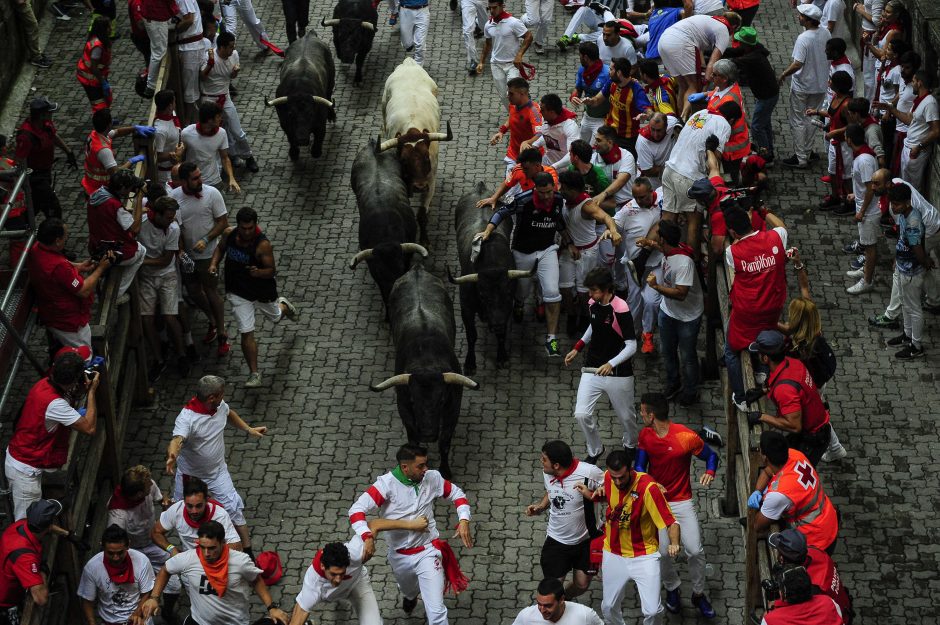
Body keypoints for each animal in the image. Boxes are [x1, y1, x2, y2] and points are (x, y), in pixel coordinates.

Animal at [262, 31, 336, 161]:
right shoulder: (285, 124)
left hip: (331, 81)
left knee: (329, 95)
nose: (302, 140)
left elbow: (318, 140)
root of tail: (309, 35)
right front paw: (294, 153)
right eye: (291, 114)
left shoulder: (320, 123)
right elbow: (291, 139)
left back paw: (332, 115)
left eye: (310, 114)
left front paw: (316, 151)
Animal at [370, 260, 482, 476]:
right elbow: (413, 440)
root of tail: (416, 269)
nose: (429, 434)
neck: (426, 361)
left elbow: (445, 442)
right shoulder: (404, 408)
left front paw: (445, 471)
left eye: (442, 400)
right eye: (414, 401)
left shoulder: (452, 409)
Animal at [374, 56, 452, 246]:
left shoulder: (430, 180)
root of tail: (408, 63)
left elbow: (422, 214)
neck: (412, 126)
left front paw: (424, 239)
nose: (419, 186)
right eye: (403, 160)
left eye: (426, 158)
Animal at [448, 183, 528, 372]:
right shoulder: (466, 307)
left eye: (507, 294)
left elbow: (502, 334)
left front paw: (502, 357)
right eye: (483, 295)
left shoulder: (506, 308)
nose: (497, 323)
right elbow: (471, 335)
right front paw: (470, 363)